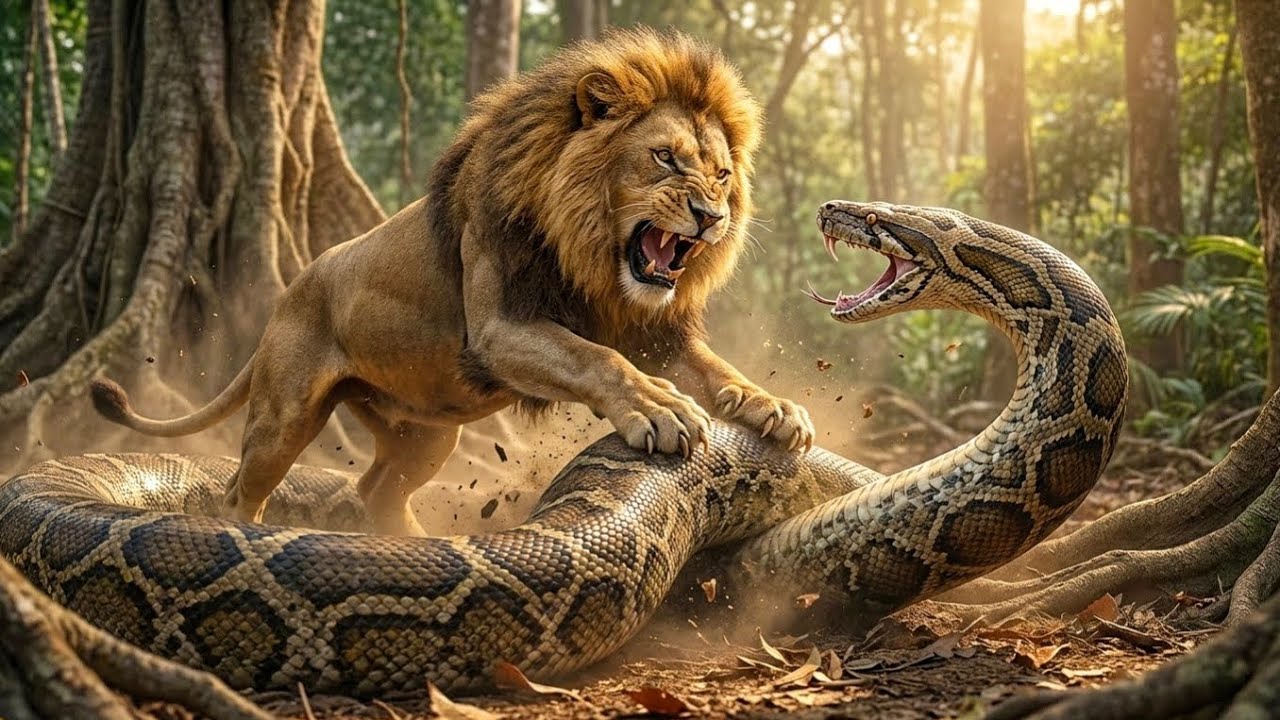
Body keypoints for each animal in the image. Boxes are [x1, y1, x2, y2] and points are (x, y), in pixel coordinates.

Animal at [91, 28, 814, 536]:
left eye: (722, 175)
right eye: (664, 158)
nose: (712, 218)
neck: (591, 258)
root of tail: (288, 292)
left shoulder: (648, 328)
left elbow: (713, 368)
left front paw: (770, 406)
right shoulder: (500, 330)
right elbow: (595, 359)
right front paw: (659, 407)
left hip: (427, 432)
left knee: (374, 490)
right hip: (284, 417)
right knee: (242, 490)